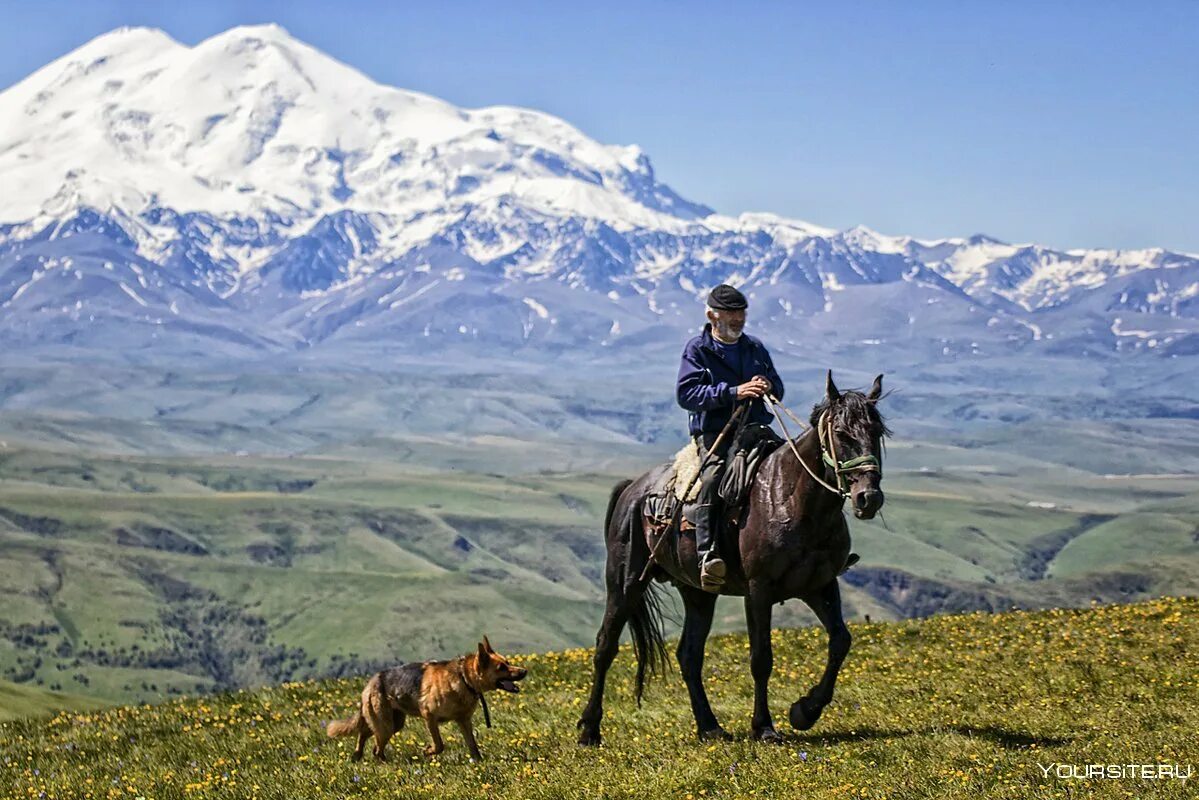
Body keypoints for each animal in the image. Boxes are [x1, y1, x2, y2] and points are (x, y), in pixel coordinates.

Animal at [330, 638, 532, 762]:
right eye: (501, 667)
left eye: (508, 662)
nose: (524, 671)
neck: (464, 678)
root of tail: (370, 683)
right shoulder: (429, 717)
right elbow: (440, 745)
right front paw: (427, 751)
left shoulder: (464, 721)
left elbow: (473, 745)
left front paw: (479, 762)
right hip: (386, 724)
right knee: (375, 747)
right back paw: (385, 763)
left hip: (394, 724)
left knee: (365, 735)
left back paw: (358, 755)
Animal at [575, 371, 887, 748]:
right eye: (841, 433)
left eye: (877, 431)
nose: (868, 497)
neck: (793, 498)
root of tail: (632, 488)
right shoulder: (759, 590)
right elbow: (761, 658)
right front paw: (764, 726)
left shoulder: (820, 584)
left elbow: (841, 641)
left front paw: (805, 711)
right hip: (625, 583)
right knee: (605, 647)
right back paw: (589, 729)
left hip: (698, 593)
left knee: (689, 655)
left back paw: (709, 727)